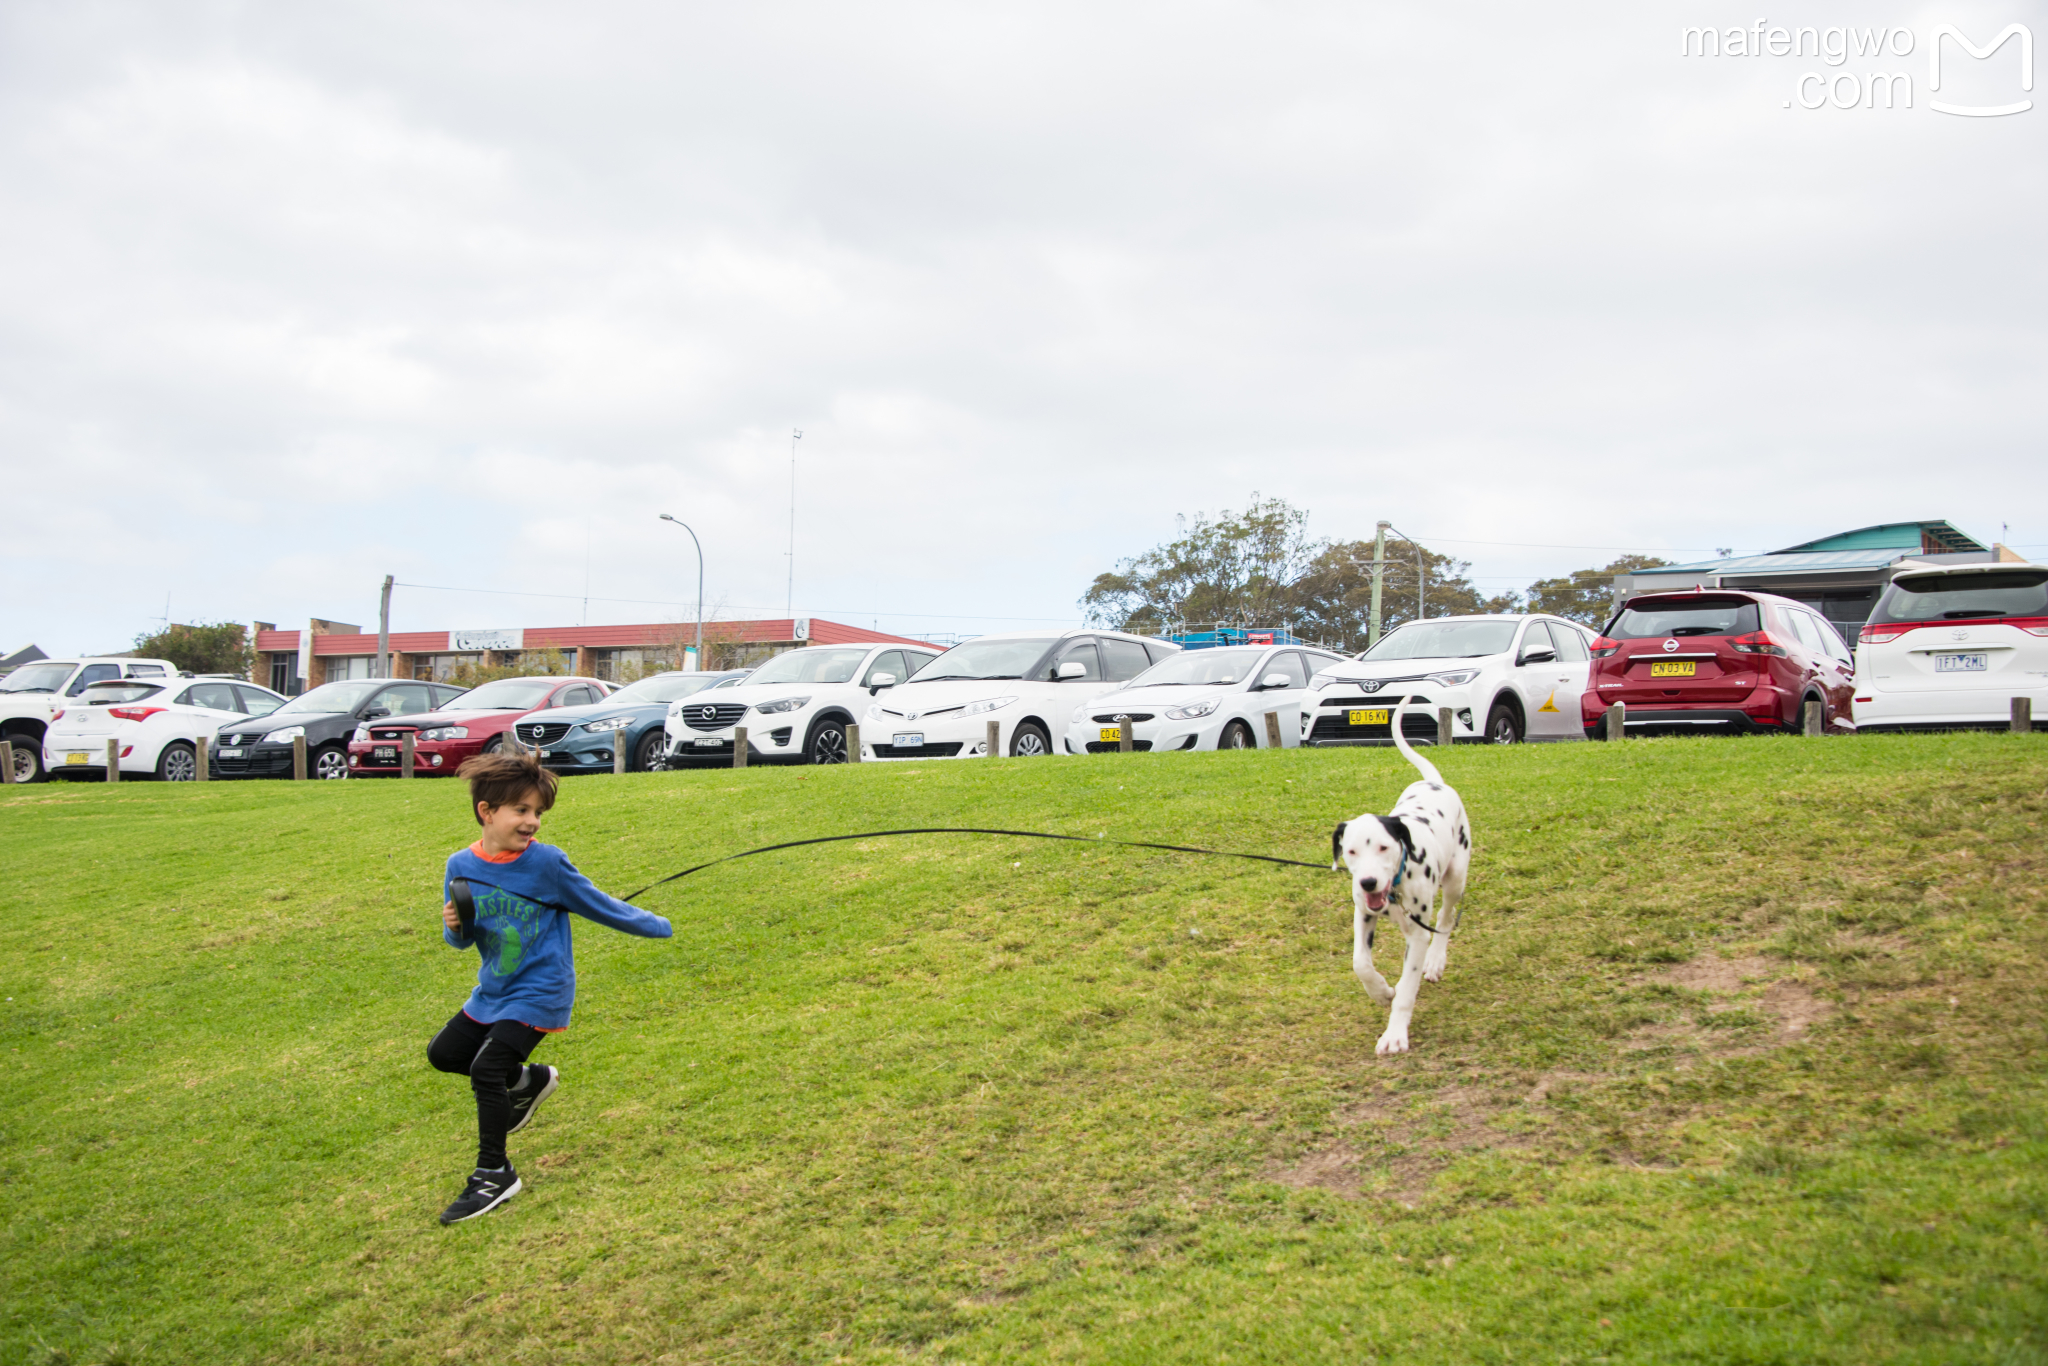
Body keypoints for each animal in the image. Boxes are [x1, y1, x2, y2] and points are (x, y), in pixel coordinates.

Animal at [1327, 700, 1474, 1056]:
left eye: (1384, 847)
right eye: (1351, 851)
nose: (1367, 882)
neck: (1395, 888)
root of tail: (1434, 783)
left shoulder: (1417, 936)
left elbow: (1408, 988)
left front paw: (1395, 1034)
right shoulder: (1363, 914)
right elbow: (1360, 964)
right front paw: (1381, 992)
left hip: (1455, 878)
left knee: (1446, 918)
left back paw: (1436, 961)